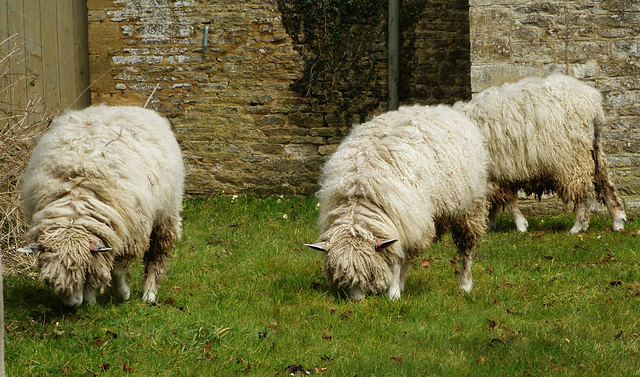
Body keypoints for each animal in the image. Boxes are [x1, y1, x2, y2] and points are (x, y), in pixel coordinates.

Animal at [19, 104, 185, 306]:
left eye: (81, 271)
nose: (72, 305)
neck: (77, 201)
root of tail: (124, 107)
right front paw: (91, 299)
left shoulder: (129, 235)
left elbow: (117, 269)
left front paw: (123, 293)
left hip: (166, 215)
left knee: (157, 254)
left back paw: (149, 293)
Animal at [304, 104, 490, 298]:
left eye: (369, 273)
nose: (357, 301)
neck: (359, 192)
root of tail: (442, 108)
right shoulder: (402, 224)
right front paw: (396, 288)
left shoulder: (400, 221)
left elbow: (395, 261)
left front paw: (393, 295)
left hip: (470, 208)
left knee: (466, 248)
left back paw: (465, 284)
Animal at [458, 73, 628, 232]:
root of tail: (593, 104)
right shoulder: (496, 174)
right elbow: (495, 201)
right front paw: (490, 225)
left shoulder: (494, 172)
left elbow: (507, 201)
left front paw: (520, 225)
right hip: (594, 150)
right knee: (606, 183)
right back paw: (618, 221)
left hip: (573, 159)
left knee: (585, 192)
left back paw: (578, 226)